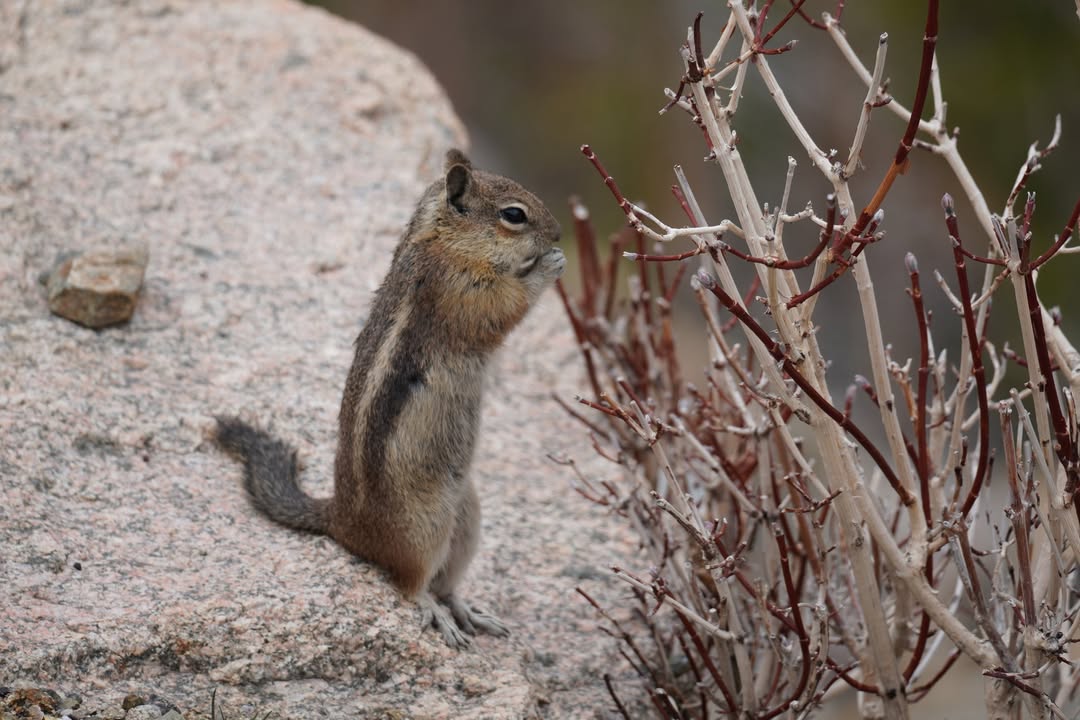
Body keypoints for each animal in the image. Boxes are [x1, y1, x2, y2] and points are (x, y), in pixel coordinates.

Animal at [214, 149, 565, 648]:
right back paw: (436, 613)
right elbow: (505, 308)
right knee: (409, 583)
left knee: (446, 581)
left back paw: (468, 612)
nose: (557, 233)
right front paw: (549, 264)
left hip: (467, 515)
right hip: (424, 526)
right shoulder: (461, 290)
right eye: (514, 215)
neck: (439, 241)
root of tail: (342, 522)